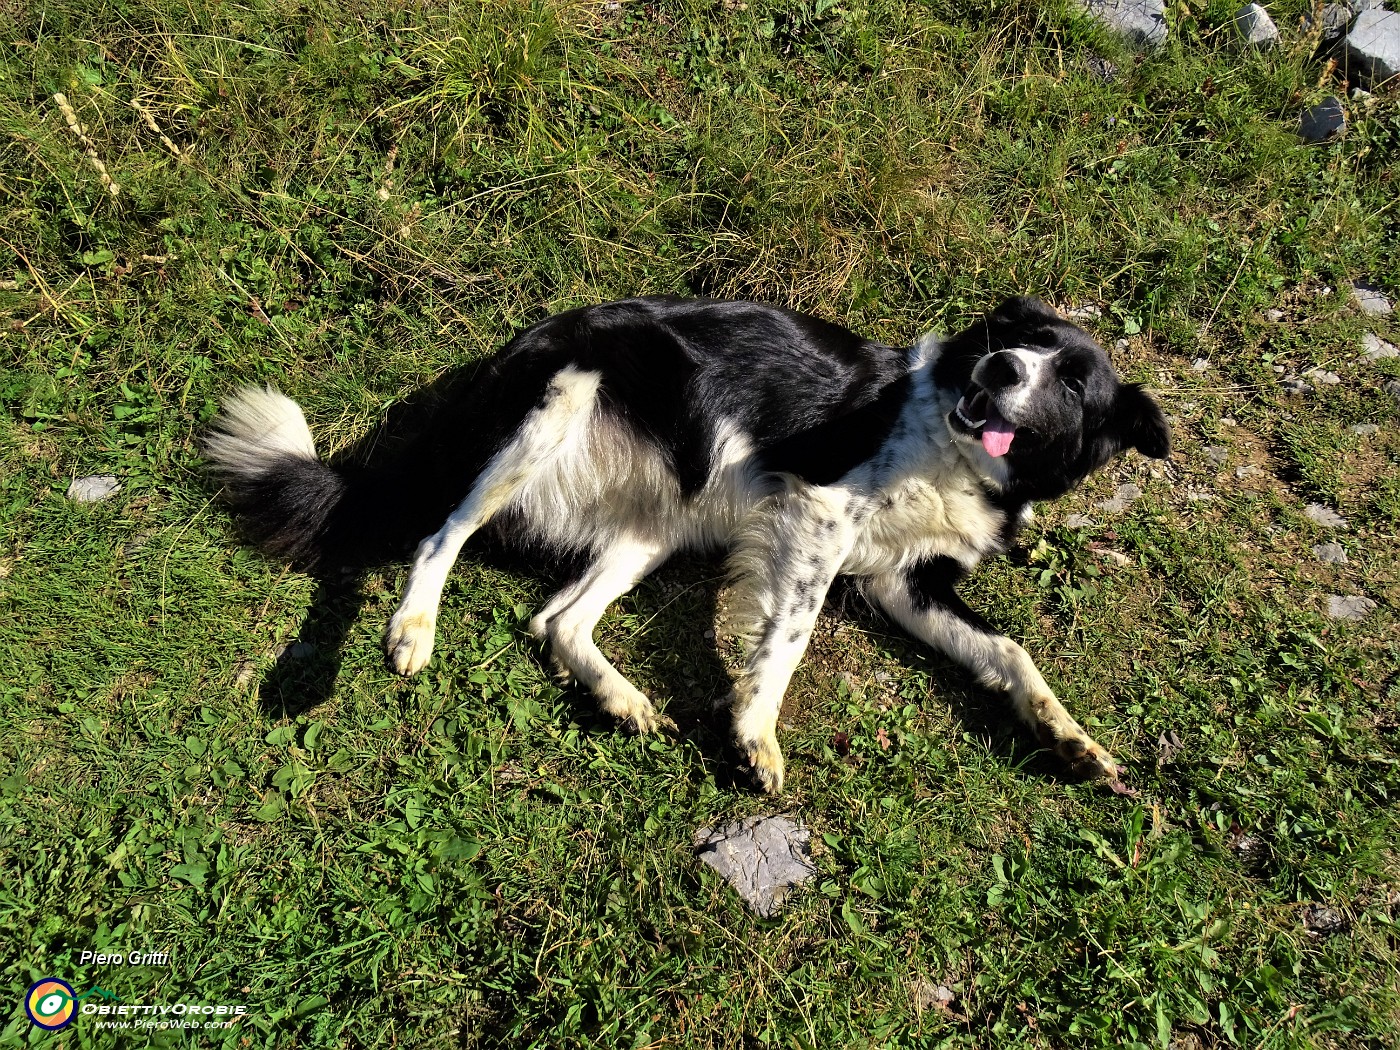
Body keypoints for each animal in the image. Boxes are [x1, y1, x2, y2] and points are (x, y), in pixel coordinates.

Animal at [204, 294, 1170, 789]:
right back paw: (408, 632)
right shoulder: (819, 513)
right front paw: (754, 734)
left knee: (555, 621)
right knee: (442, 532)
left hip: (658, 524)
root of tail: (485, 373)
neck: (961, 451)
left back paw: (621, 699)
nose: (1000, 369)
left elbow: (1008, 650)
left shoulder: (908, 580)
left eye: (1072, 379)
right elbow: (786, 640)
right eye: (1017, 338)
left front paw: (1074, 743)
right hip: (556, 406)